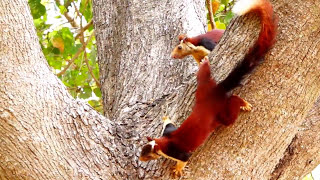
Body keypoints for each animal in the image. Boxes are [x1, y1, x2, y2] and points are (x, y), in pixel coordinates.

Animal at [140, 0, 278, 177]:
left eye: (148, 155)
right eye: (142, 150)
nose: (140, 159)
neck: (164, 141)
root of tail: (216, 91)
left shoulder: (177, 151)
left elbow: (184, 159)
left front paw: (178, 170)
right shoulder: (169, 131)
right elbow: (168, 124)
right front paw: (165, 117)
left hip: (223, 115)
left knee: (231, 108)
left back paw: (243, 103)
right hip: (203, 87)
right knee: (204, 75)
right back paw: (205, 65)